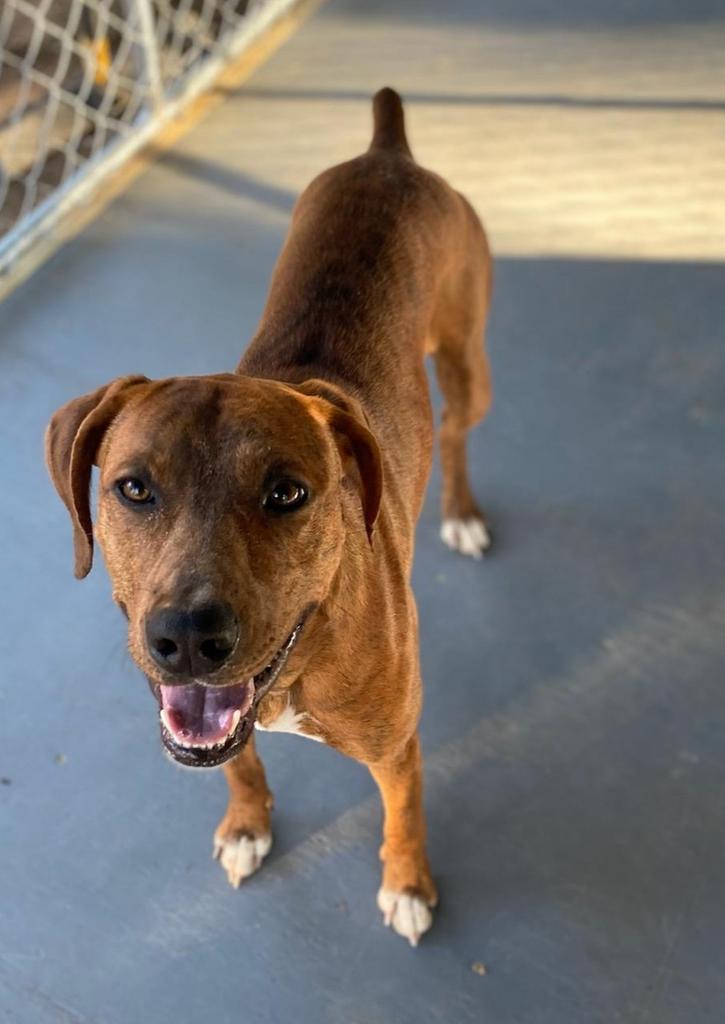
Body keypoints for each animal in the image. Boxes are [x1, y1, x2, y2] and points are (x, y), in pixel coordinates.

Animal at [46, 88, 493, 942]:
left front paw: (407, 884)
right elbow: (238, 758)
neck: (296, 665)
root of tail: (386, 151)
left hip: (466, 357)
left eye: (287, 492)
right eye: (133, 489)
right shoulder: (207, 717)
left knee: (457, 430)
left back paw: (458, 513)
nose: (187, 638)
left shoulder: (397, 748)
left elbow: (403, 816)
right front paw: (248, 824)